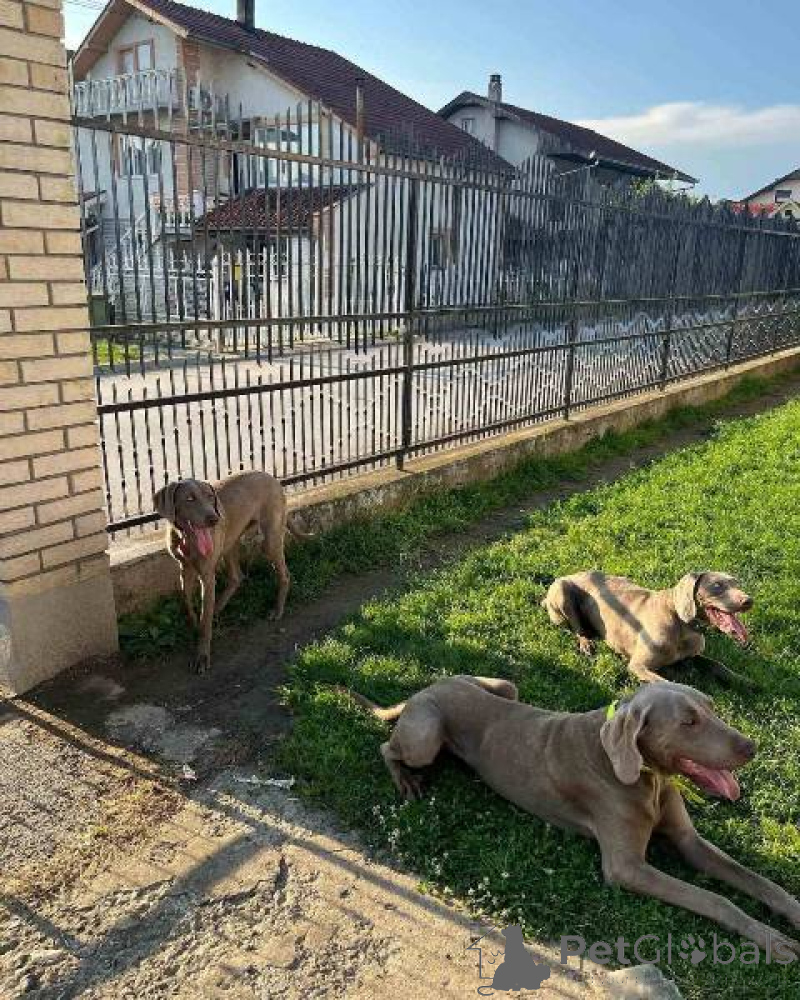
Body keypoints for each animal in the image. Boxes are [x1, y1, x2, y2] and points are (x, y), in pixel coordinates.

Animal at [153, 471, 311, 673]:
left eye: (210, 497)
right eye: (189, 499)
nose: (214, 519)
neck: (185, 539)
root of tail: (272, 477)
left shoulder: (207, 576)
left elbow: (205, 622)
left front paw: (202, 655)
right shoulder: (185, 569)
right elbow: (187, 602)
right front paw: (194, 623)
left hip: (269, 541)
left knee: (284, 574)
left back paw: (277, 610)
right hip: (230, 542)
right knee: (237, 577)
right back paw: (218, 608)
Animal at [350, 676, 799, 959]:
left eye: (711, 707)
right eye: (688, 721)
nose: (751, 747)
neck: (645, 775)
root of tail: (427, 686)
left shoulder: (689, 841)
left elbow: (760, 882)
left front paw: (791, 912)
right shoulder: (626, 868)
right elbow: (716, 898)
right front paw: (773, 941)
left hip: (504, 688)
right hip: (426, 738)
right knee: (385, 748)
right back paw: (405, 780)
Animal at [542, 571, 754, 686]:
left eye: (737, 583)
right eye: (717, 585)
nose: (749, 601)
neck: (681, 624)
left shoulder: (693, 655)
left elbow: (718, 665)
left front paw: (744, 681)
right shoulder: (638, 666)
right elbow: (665, 684)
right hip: (561, 591)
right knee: (577, 628)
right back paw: (586, 643)